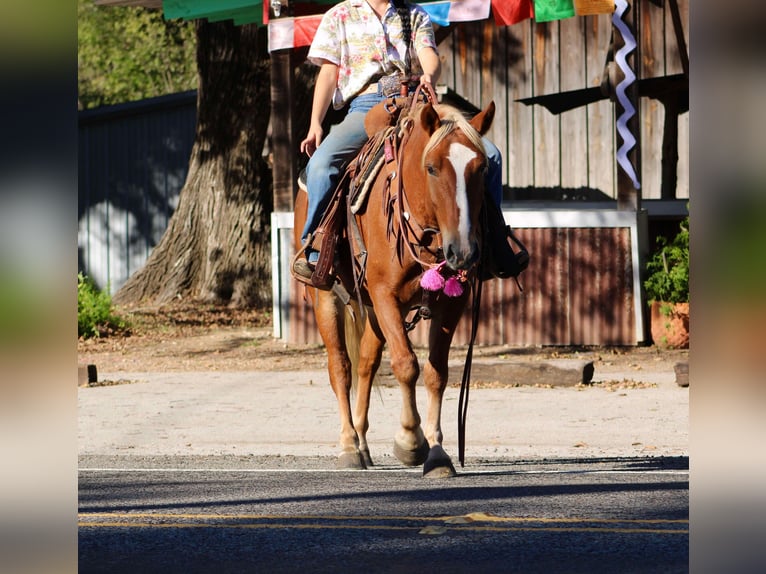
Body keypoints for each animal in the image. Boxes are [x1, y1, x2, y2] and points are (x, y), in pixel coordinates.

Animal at [294, 94, 498, 480]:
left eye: (482, 169)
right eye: (431, 167)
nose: (464, 251)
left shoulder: (451, 303)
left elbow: (435, 372)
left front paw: (437, 452)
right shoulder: (386, 295)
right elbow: (406, 364)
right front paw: (410, 441)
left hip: (372, 311)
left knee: (366, 363)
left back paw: (361, 441)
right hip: (325, 296)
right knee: (340, 367)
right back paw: (348, 445)